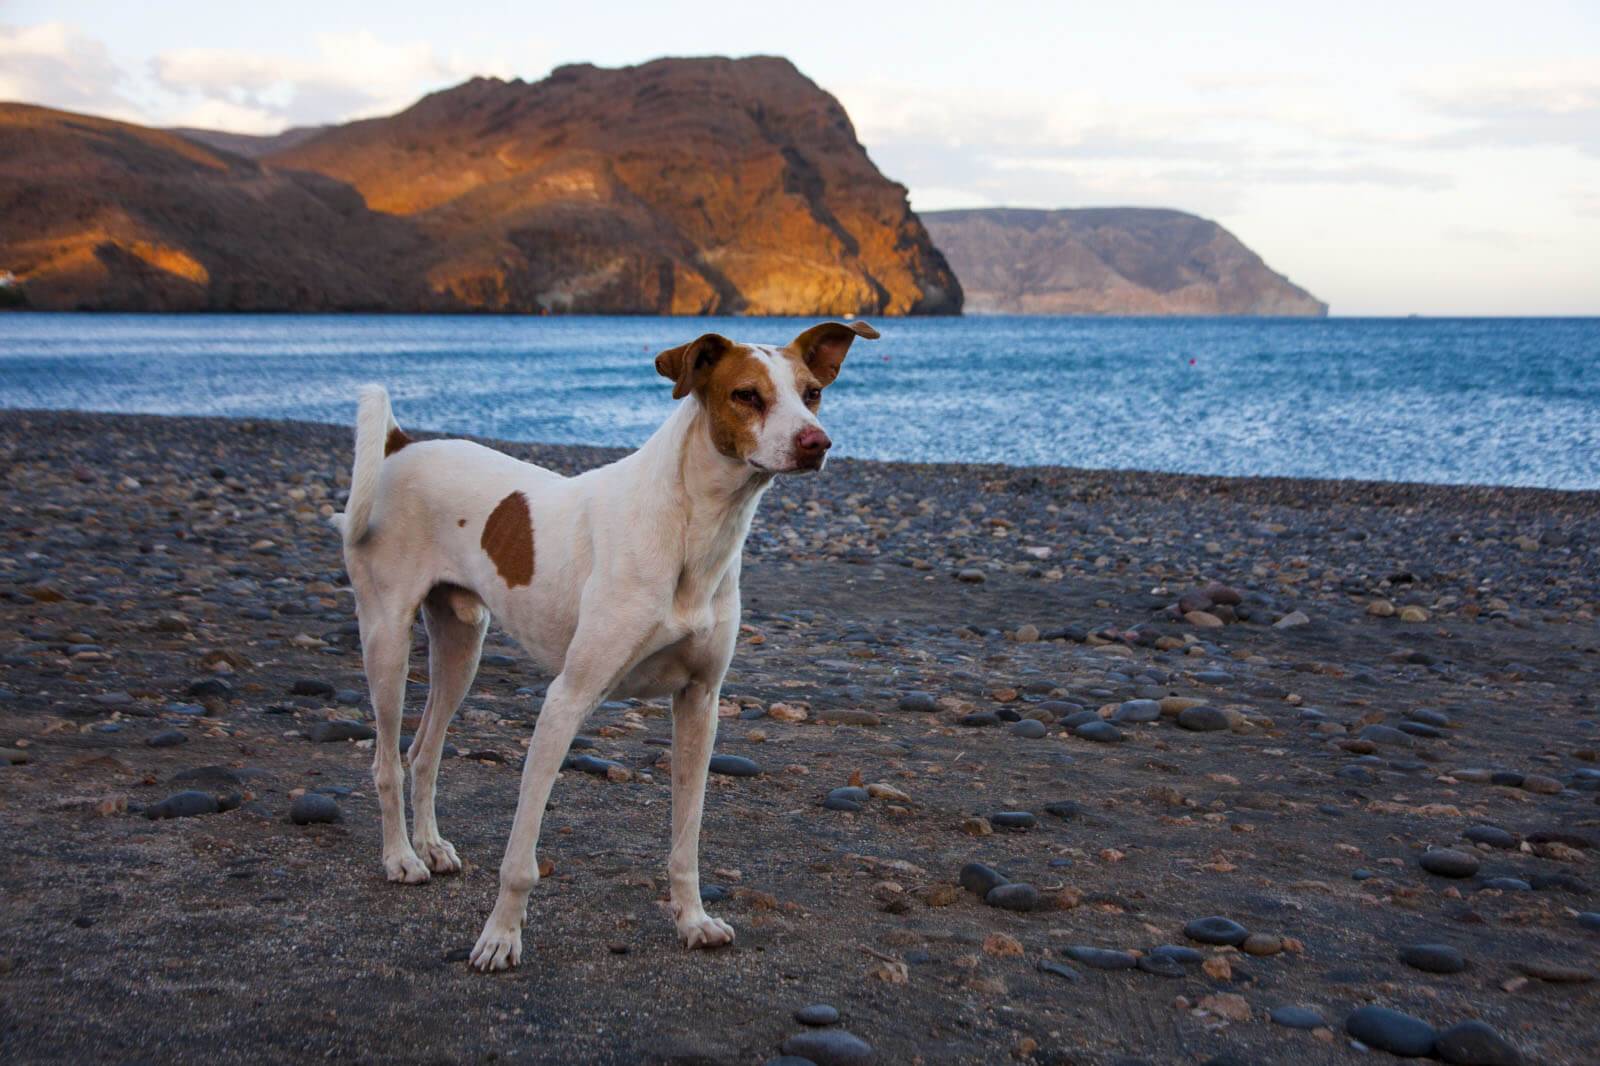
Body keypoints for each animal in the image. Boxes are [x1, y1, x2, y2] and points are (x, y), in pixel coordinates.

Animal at [328, 320, 876, 966]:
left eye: (812, 392)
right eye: (747, 395)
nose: (817, 442)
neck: (691, 531)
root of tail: (401, 446)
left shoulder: (700, 704)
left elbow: (686, 839)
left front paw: (692, 919)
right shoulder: (566, 699)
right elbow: (521, 859)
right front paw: (500, 937)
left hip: (462, 647)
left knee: (424, 752)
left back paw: (432, 846)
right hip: (386, 640)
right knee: (387, 759)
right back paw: (401, 858)